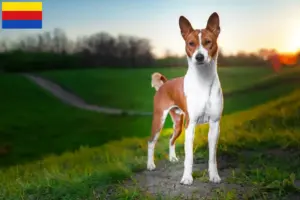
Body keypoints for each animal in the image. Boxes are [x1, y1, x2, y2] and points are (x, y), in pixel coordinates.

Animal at [147, 11, 223, 185]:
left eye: (208, 42)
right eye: (191, 43)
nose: (199, 57)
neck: (203, 80)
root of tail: (164, 85)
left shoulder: (215, 124)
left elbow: (212, 157)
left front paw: (214, 176)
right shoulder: (191, 124)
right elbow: (189, 157)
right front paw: (187, 178)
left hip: (178, 124)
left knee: (170, 139)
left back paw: (173, 158)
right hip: (159, 120)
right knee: (151, 142)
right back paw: (150, 165)